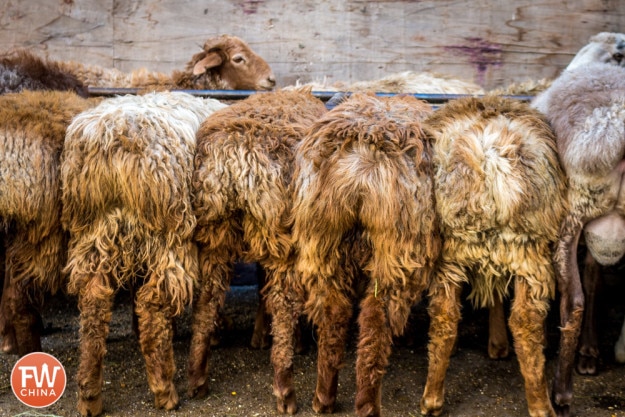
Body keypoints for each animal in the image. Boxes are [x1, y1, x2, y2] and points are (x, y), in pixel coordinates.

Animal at [60, 89, 227, 414]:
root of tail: (112, 136)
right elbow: (209, 299)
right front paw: (200, 376)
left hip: (94, 230)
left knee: (93, 302)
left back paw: (89, 394)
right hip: (170, 232)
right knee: (153, 304)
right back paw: (164, 390)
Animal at [268, 92, 438, 414]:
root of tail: (361, 164)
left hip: (322, 235)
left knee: (332, 313)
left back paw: (322, 398)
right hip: (394, 244)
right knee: (375, 320)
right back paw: (367, 405)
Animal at [416, 94, 568, 416]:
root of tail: (490, 155)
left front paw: (497, 346)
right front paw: (498, 346)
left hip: (465, 247)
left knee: (447, 317)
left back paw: (433, 399)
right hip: (520, 247)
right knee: (523, 321)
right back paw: (540, 405)